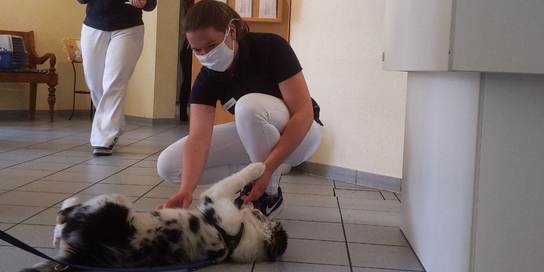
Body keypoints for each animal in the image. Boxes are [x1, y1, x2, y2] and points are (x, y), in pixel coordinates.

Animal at [21, 163, 286, 270]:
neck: (238, 238)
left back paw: (60, 224)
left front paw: (259, 166)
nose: (251, 203)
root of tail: (77, 255)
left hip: (114, 201)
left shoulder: (215, 197)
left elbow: (237, 176)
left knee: (64, 212)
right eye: (259, 215)